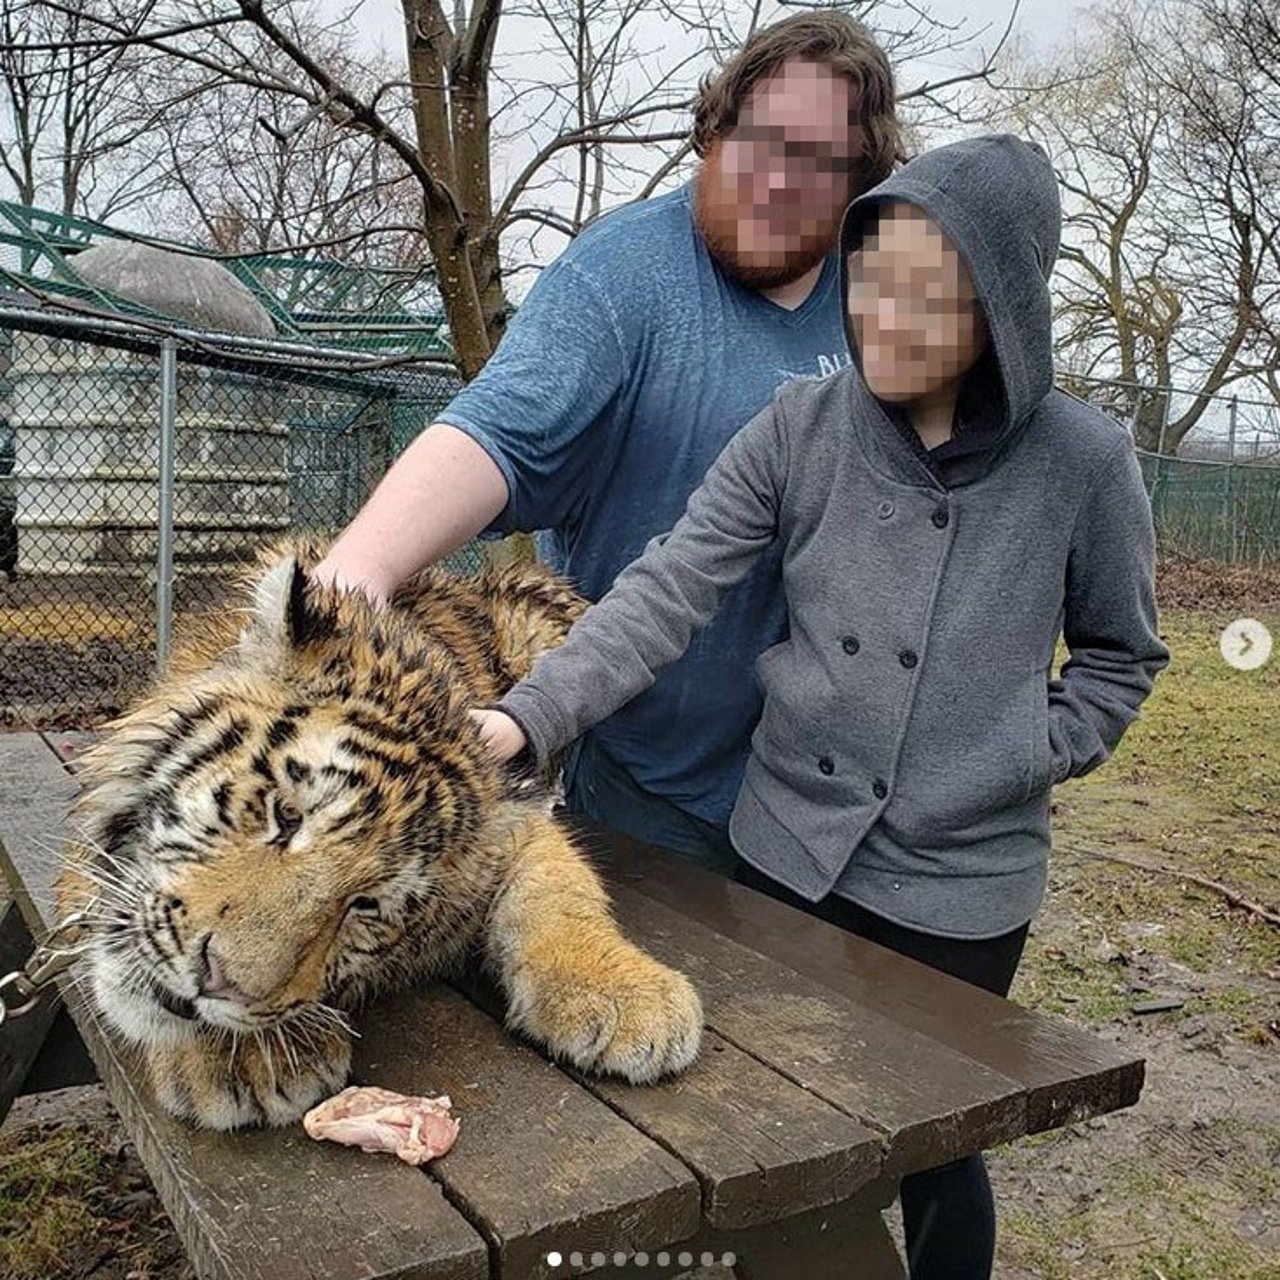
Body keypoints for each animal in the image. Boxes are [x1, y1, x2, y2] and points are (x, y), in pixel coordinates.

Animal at [55, 540, 706, 1131]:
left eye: (364, 907)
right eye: (286, 815)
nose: (211, 985)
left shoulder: (519, 820)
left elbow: (561, 885)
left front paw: (627, 996)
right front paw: (240, 1062)